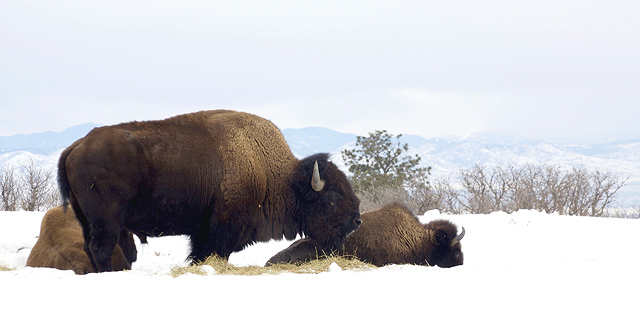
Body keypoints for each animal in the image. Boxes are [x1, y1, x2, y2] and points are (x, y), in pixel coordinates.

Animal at [57, 109, 362, 272]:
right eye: (334, 197)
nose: (357, 220)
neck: (273, 174)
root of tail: (75, 147)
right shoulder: (223, 227)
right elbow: (214, 252)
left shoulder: (202, 230)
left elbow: (198, 254)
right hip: (106, 219)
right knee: (101, 247)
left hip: (86, 218)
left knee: (90, 246)